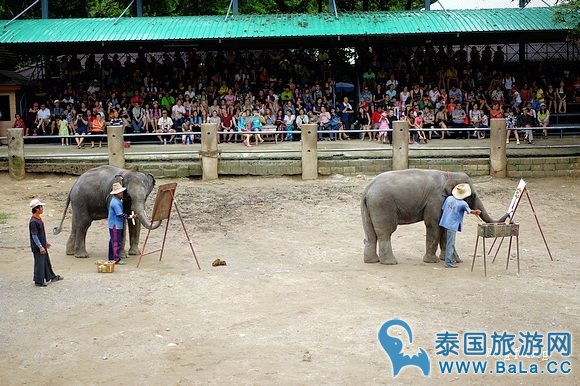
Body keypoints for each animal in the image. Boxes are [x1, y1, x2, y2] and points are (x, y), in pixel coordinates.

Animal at [360, 170, 500, 266]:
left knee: (370, 234)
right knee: (385, 232)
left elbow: (443, 227)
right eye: (474, 195)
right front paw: (432, 261)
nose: (477, 211)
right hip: (382, 205)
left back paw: (371, 261)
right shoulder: (435, 199)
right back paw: (390, 262)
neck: (448, 174)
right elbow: (433, 224)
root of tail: (367, 189)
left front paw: (450, 259)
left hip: (369, 207)